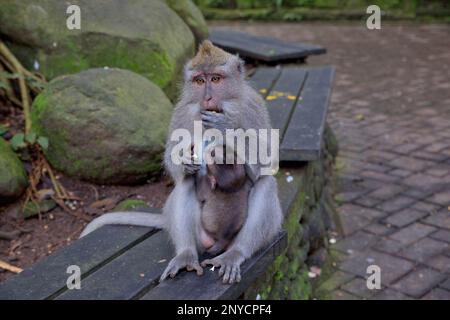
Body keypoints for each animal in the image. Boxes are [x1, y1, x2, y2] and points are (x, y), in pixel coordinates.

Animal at [81, 41, 282, 284]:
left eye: (215, 79)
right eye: (199, 81)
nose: (207, 98)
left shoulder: (253, 105)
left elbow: (268, 158)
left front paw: (226, 126)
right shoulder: (182, 110)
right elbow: (173, 157)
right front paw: (185, 159)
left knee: (265, 183)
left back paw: (235, 253)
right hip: (200, 237)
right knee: (186, 183)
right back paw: (186, 254)